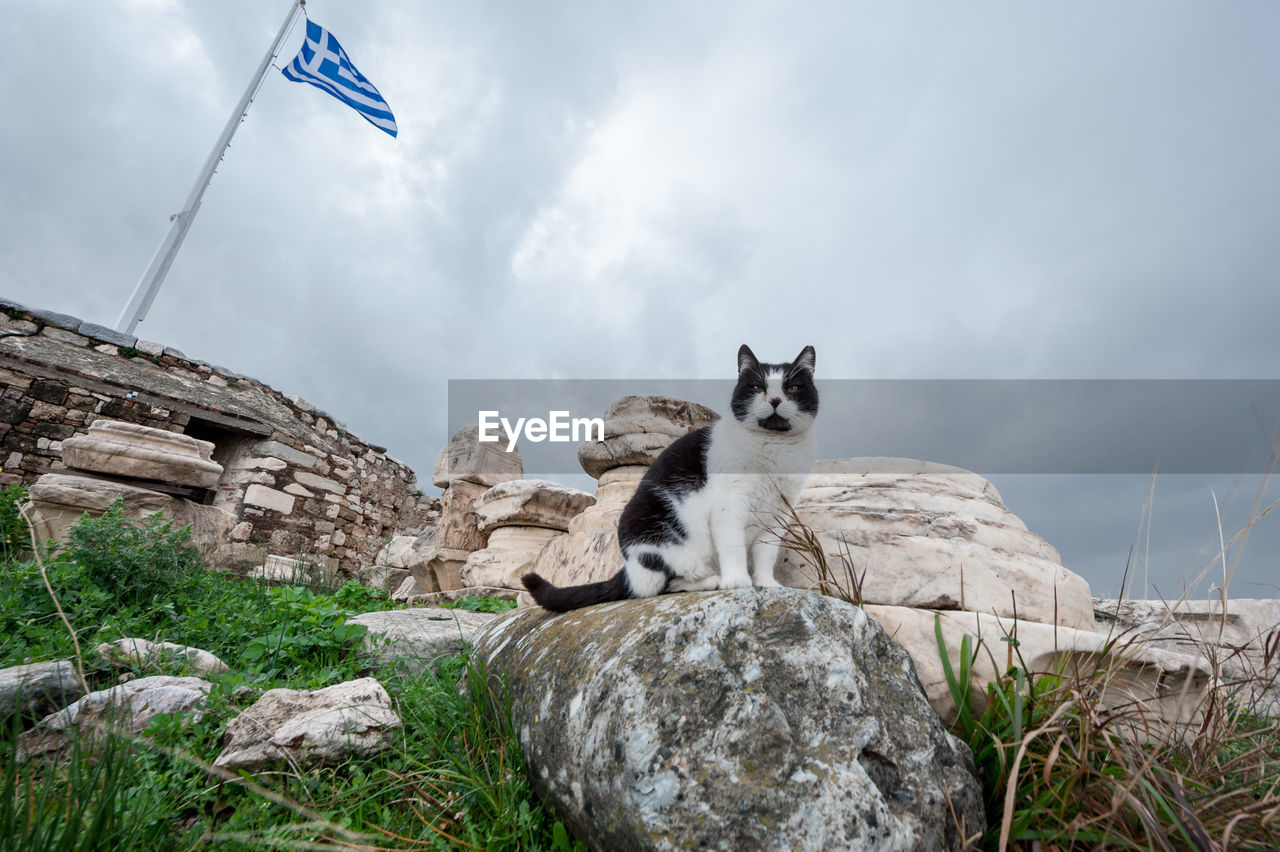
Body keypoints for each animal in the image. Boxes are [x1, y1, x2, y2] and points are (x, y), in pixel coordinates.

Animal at [519, 345, 819, 611]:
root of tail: (629, 568)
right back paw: (712, 580)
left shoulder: (778, 513)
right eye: (757, 388)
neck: (774, 449)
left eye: (791, 388)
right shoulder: (730, 506)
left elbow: (766, 553)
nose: (775, 400)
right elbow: (732, 544)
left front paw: (767, 583)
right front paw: (736, 581)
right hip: (660, 535)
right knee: (660, 586)